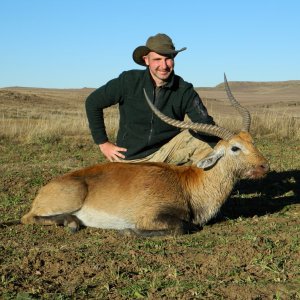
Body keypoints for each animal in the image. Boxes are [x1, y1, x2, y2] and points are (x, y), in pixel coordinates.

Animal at [21, 74, 270, 236]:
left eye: (252, 142)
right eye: (235, 148)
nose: (264, 166)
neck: (188, 184)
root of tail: (45, 188)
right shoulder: (152, 216)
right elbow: (184, 227)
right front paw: (128, 232)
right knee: (28, 218)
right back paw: (72, 223)